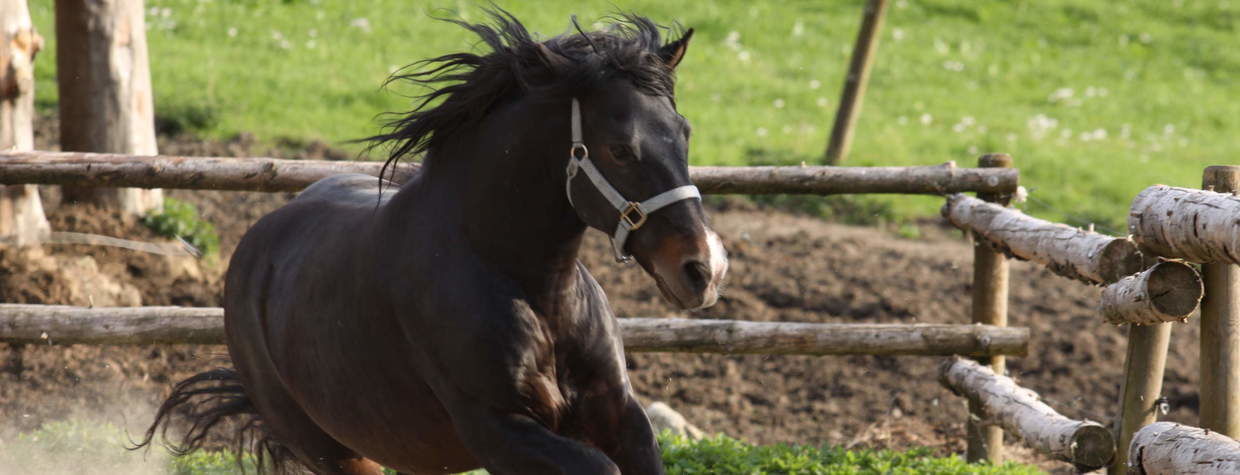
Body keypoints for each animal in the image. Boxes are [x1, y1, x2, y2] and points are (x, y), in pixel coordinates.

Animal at [138, 11, 724, 475]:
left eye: (684, 132)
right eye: (620, 148)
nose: (703, 270)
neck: (532, 288)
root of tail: (253, 250)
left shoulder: (619, 413)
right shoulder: (498, 430)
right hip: (337, 451)